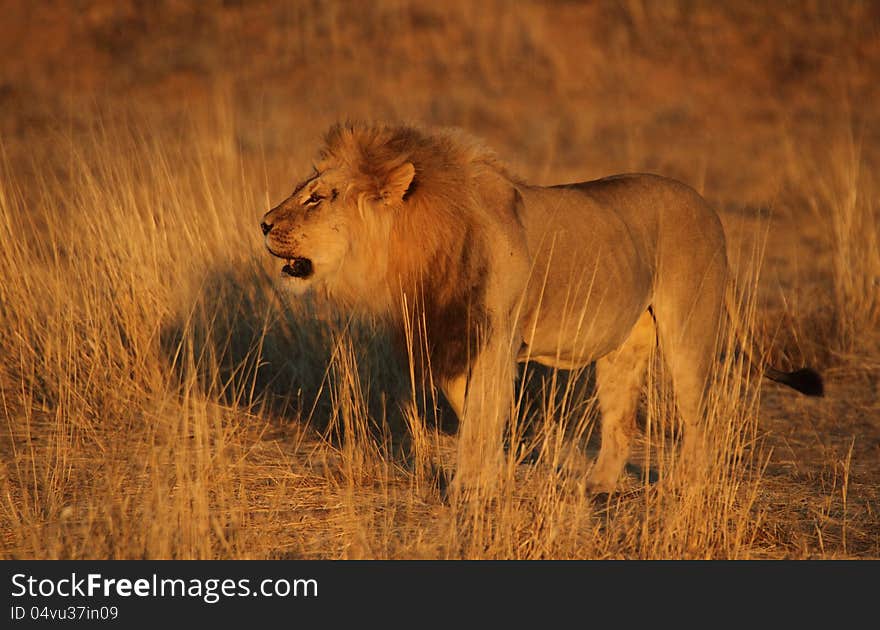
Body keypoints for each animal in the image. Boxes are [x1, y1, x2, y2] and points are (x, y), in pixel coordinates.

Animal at [262, 123, 824, 496]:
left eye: (318, 198)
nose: (263, 223)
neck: (420, 247)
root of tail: (708, 207)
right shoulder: (453, 337)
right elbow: (475, 410)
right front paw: (495, 472)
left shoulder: (496, 337)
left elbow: (482, 413)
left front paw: (468, 489)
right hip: (622, 346)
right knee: (620, 424)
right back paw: (596, 489)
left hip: (688, 332)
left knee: (698, 419)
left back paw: (686, 490)